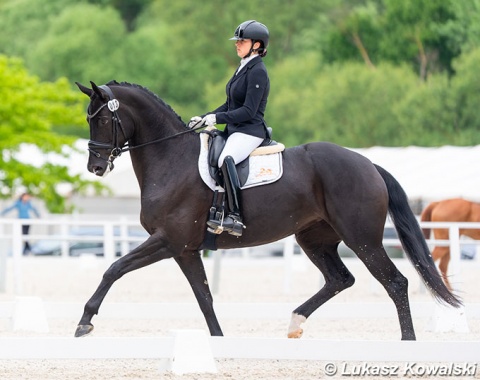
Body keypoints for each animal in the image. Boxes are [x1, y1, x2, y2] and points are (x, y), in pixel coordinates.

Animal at [75, 81, 462, 342]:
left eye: (103, 121)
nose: (96, 167)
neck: (171, 159)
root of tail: (368, 164)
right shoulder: (185, 249)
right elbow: (204, 297)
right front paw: (218, 341)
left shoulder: (169, 240)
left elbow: (114, 269)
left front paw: (85, 321)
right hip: (315, 238)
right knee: (340, 279)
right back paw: (295, 322)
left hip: (362, 238)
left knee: (395, 282)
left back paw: (407, 341)